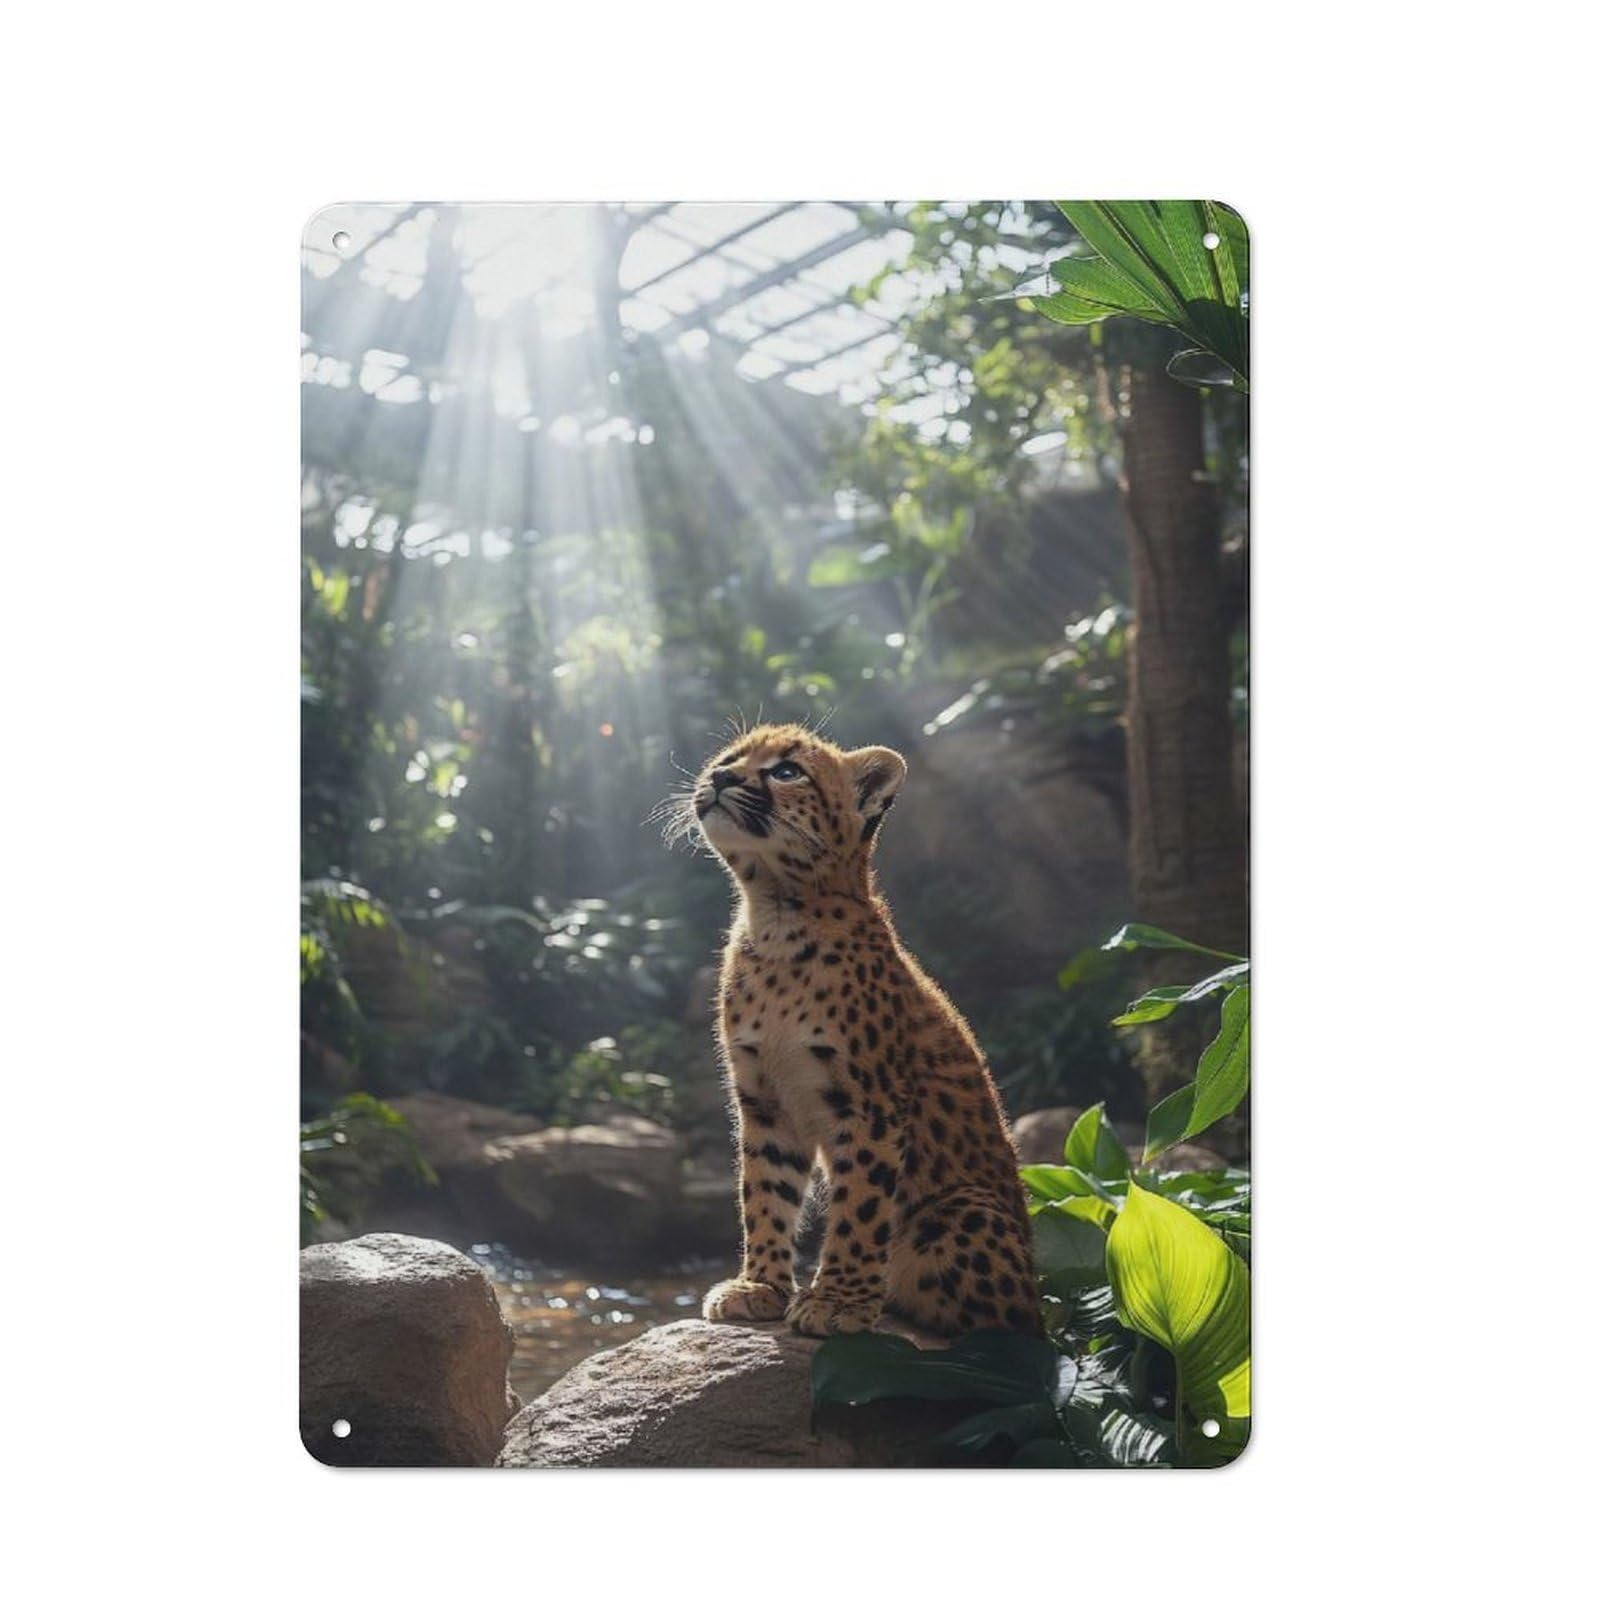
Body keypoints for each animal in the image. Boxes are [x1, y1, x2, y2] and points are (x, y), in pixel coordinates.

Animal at [675, 721, 1042, 1340]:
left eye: (787, 771)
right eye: (727, 758)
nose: (720, 777)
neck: (775, 916)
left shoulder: (870, 1106)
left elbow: (859, 1206)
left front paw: (838, 1300)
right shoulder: (765, 1101)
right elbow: (765, 1193)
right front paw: (761, 1286)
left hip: (962, 1211)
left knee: (1009, 1325)